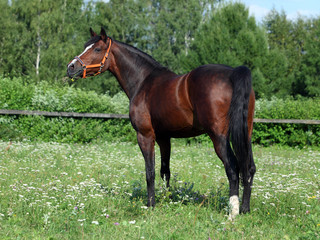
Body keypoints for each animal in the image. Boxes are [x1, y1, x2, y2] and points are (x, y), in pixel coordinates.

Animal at [67, 27, 255, 219]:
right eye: (85, 46)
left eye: (97, 49)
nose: (71, 67)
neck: (143, 81)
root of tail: (232, 73)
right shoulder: (164, 138)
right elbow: (165, 171)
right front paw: (167, 199)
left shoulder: (145, 136)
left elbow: (150, 172)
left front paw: (151, 205)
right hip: (246, 134)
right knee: (249, 168)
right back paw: (245, 209)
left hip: (219, 137)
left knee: (233, 169)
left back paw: (233, 212)